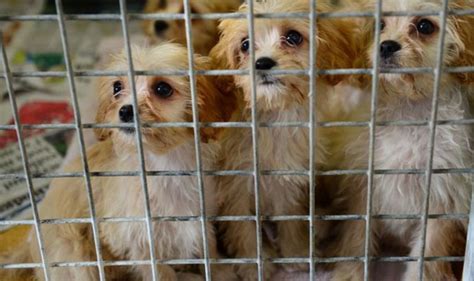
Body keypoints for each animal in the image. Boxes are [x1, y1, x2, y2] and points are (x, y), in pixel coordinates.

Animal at [209, 1, 362, 278]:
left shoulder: (288, 181)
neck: (275, 118)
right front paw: (254, 265)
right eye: (245, 44)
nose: (262, 63)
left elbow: (290, 219)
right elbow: (243, 230)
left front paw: (295, 253)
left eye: (293, 37)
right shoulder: (235, 189)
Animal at [330, 0, 474, 280]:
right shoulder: (362, 187)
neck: (408, 108)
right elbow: (356, 239)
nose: (386, 45)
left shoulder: (441, 198)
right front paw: (349, 273)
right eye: (379, 24)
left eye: (424, 26)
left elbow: (427, 253)